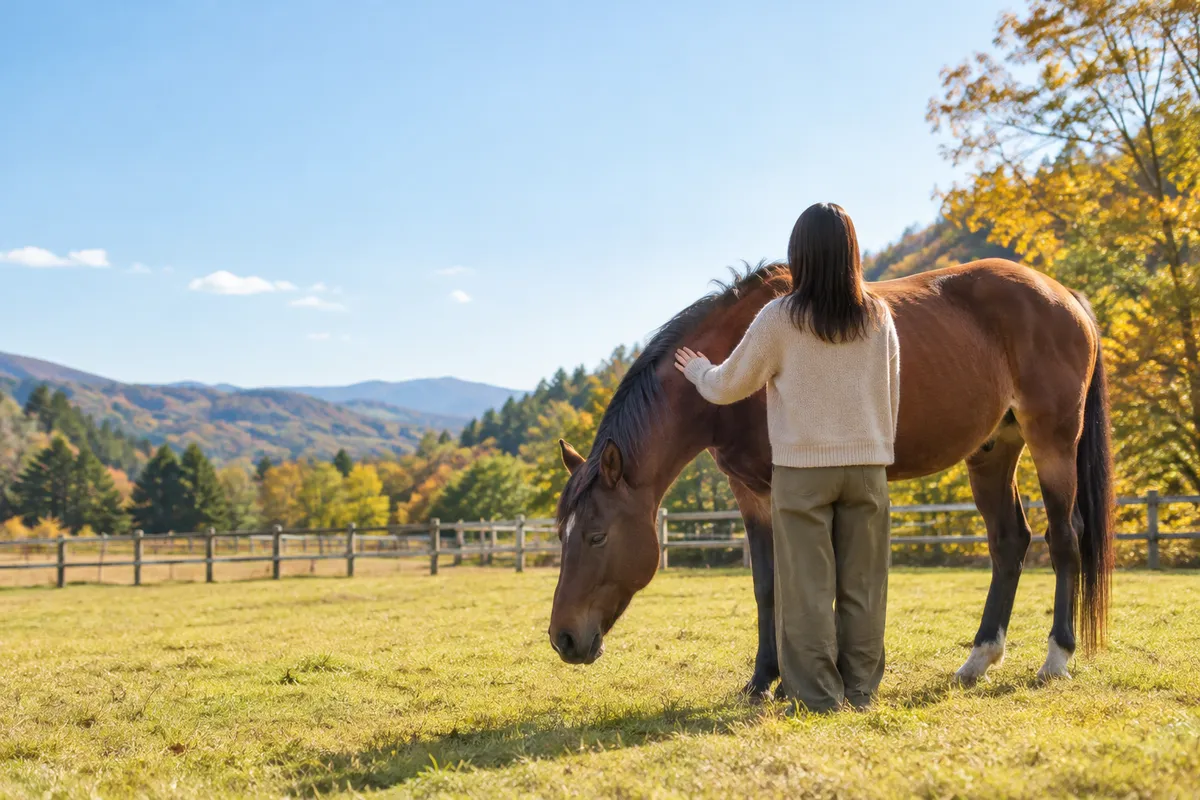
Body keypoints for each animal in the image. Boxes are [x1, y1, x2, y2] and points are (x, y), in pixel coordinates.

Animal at [548, 259, 1114, 694]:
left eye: (597, 536)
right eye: (562, 535)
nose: (563, 639)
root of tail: (1065, 296)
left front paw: (794, 681)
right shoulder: (751, 492)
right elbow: (767, 586)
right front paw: (762, 680)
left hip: (1053, 441)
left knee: (1064, 537)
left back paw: (1056, 659)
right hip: (993, 451)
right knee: (1008, 542)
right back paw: (977, 660)